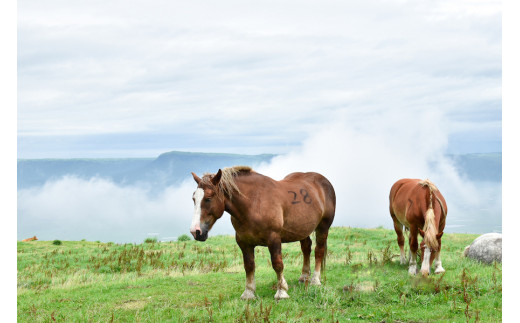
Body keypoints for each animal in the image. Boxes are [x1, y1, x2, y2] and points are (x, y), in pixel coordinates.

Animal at [189, 167, 336, 302]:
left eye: (208, 198)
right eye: (194, 198)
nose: (195, 231)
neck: (253, 203)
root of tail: (324, 182)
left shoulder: (274, 239)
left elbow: (277, 264)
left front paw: (281, 291)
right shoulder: (244, 242)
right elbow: (249, 266)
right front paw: (248, 293)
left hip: (323, 227)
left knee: (319, 251)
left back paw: (315, 280)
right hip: (302, 229)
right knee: (306, 248)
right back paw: (304, 277)